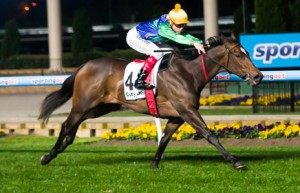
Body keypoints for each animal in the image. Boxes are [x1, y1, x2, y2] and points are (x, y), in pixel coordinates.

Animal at [39, 34, 262, 169]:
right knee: (66, 124)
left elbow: (164, 140)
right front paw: (234, 160)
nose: (258, 76)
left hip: (99, 107)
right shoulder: (187, 110)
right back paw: (48, 155)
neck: (188, 73)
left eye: (246, 53)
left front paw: (154, 163)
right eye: (237, 54)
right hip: (83, 104)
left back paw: (60, 148)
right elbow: (210, 134)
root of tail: (84, 66)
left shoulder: (177, 116)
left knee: (73, 127)